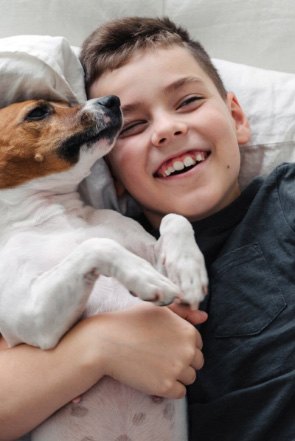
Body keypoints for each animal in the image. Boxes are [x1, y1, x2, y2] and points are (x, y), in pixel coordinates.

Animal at [0, 96, 208, 440]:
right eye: (38, 111)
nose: (112, 100)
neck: (54, 214)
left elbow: (173, 218)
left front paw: (188, 270)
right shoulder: (31, 318)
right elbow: (97, 245)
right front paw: (146, 279)